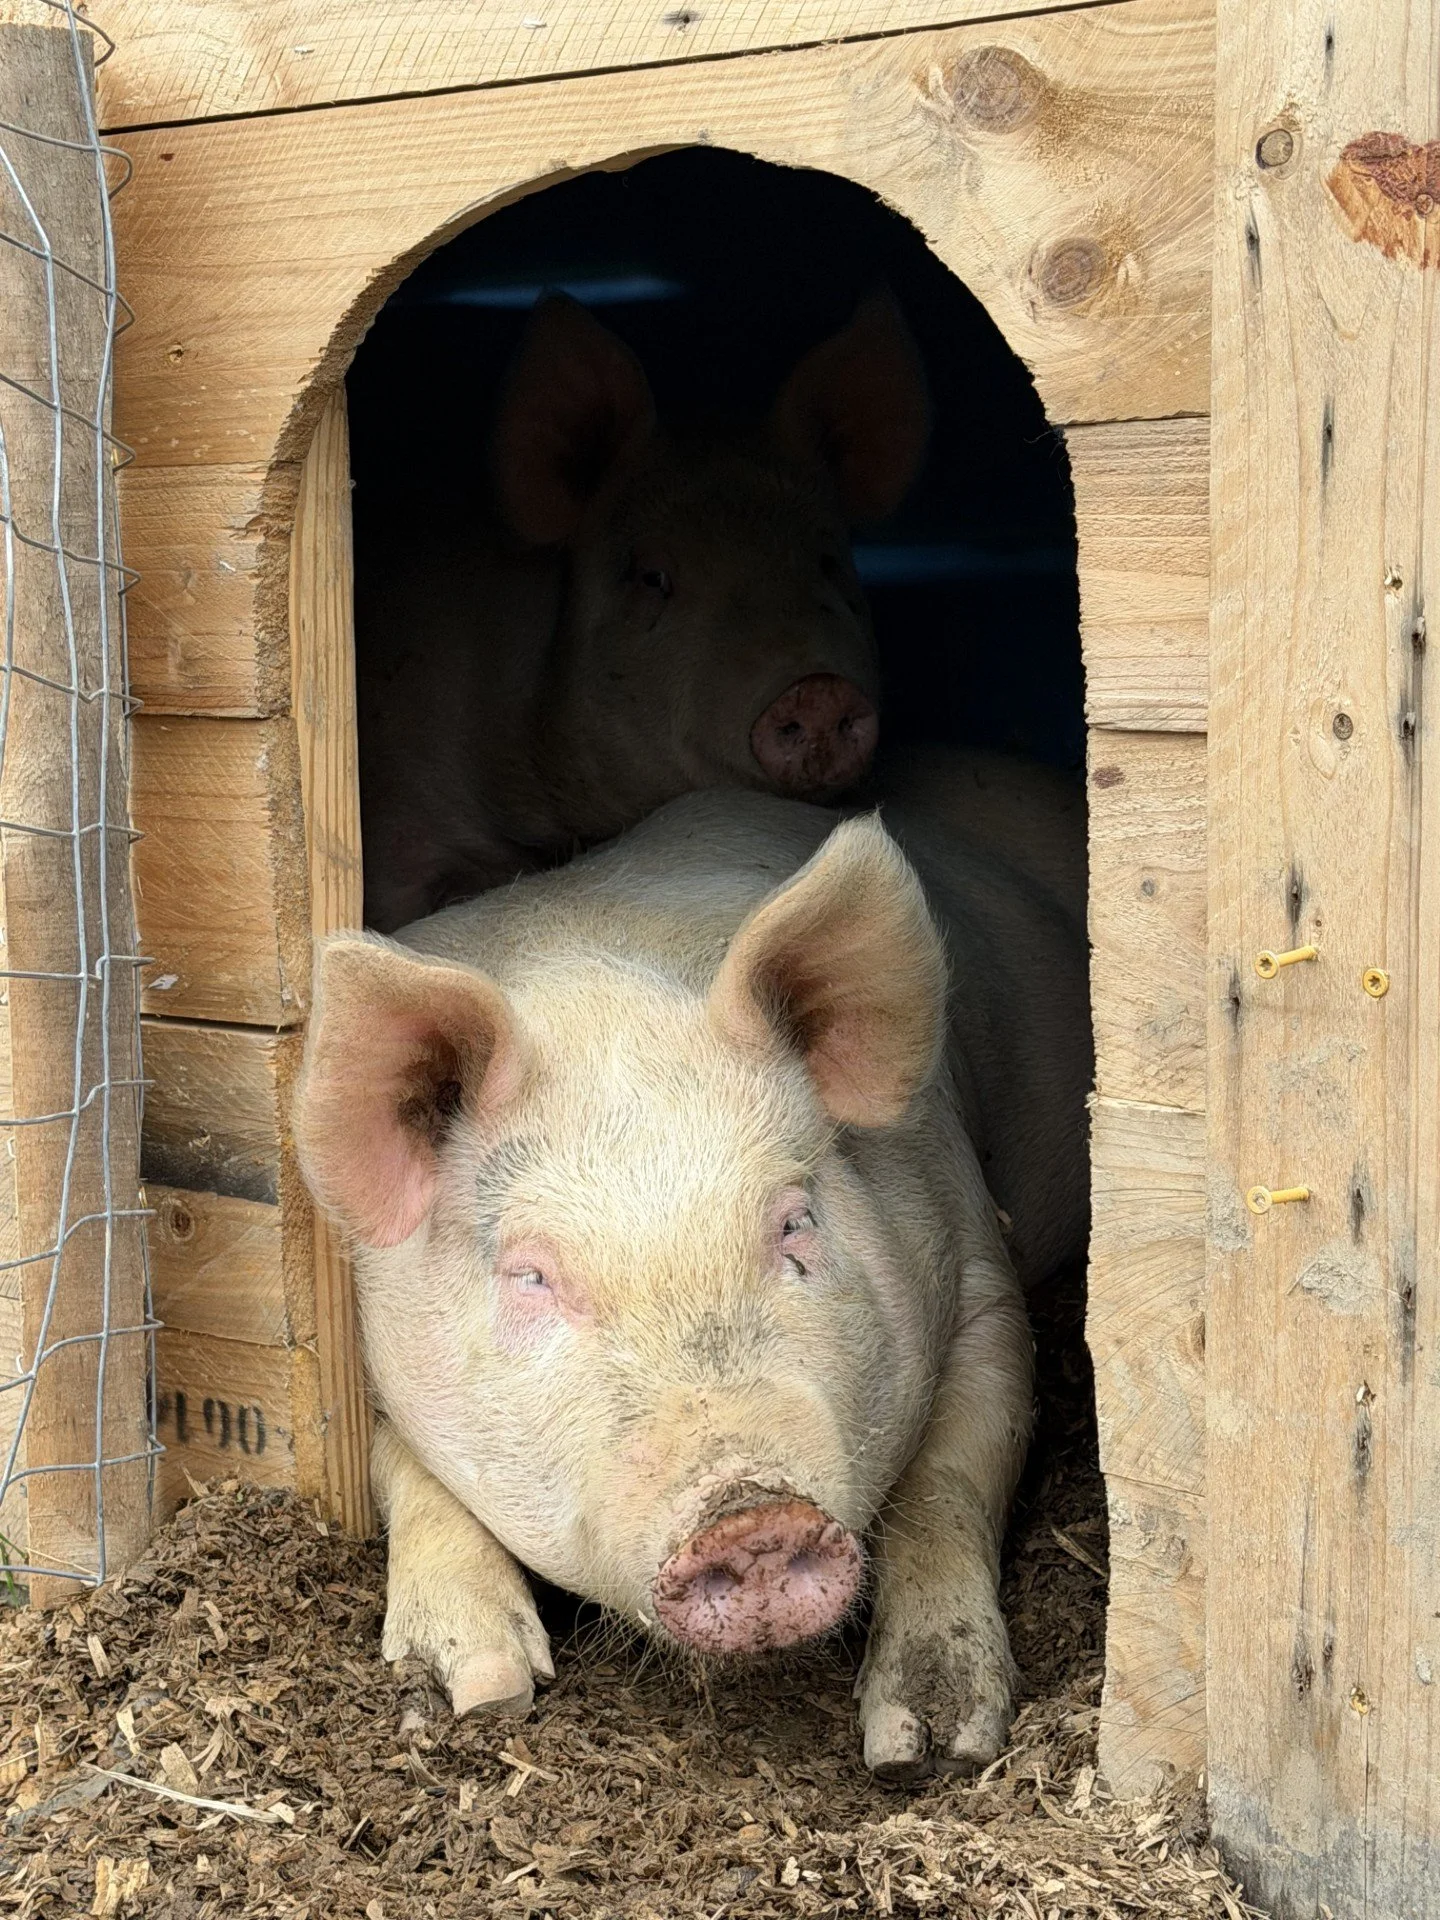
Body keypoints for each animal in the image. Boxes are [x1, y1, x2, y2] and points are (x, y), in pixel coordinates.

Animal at [293, 763, 1090, 1777]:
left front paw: (932, 1743)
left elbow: (948, 1480)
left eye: (794, 1223)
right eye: (530, 1277)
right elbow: (399, 1465)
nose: (750, 1518)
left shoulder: (984, 1281)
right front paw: (474, 1689)